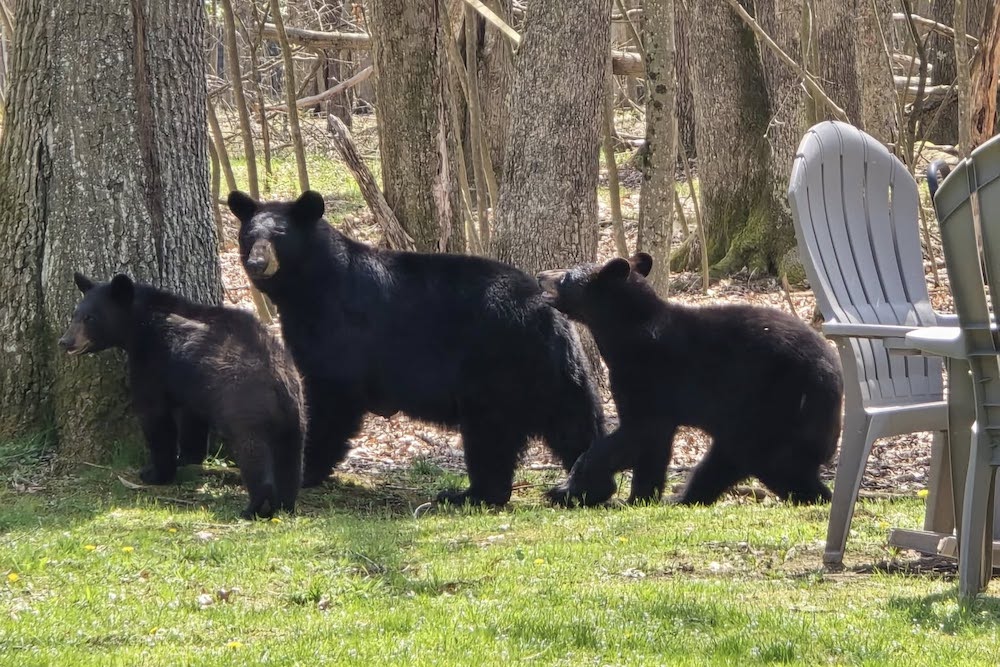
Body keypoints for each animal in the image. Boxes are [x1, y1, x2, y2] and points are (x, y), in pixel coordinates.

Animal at [59, 273, 306, 519]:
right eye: (75, 314)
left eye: (90, 318)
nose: (65, 341)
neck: (142, 324)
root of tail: (279, 382)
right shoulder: (191, 383)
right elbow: (191, 420)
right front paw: (188, 458)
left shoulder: (152, 363)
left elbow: (155, 417)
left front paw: (154, 473)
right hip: (295, 417)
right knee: (290, 460)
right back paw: (286, 503)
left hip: (245, 409)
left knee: (254, 454)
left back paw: (254, 508)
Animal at [226, 189, 605, 507]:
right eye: (249, 236)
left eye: (279, 236)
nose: (257, 263)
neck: (308, 287)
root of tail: (543, 311)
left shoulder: (341, 329)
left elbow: (333, 395)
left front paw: (305, 469)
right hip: (555, 372)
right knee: (575, 423)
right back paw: (585, 488)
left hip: (493, 366)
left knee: (490, 433)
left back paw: (469, 494)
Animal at [536, 253, 843, 507]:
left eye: (566, 276)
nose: (541, 274)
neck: (625, 333)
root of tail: (834, 379)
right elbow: (653, 447)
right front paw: (640, 496)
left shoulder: (647, 374)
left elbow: (636, 431)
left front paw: (566, 489)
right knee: (735, 463)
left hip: (772, 406)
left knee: (764, 461)